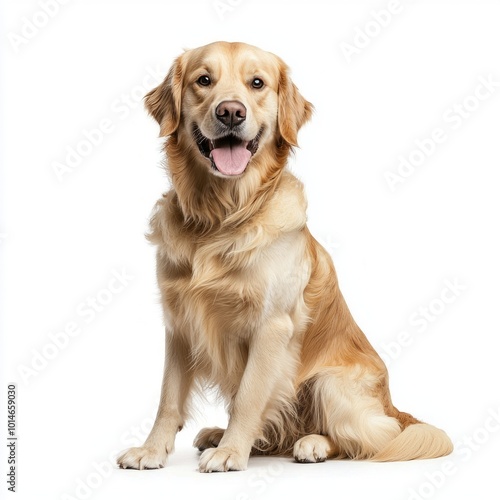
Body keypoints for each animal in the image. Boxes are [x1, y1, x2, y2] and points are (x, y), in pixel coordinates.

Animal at [117, 41, 454, 470]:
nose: (231, 112)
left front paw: (231, 452)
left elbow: (248, 397)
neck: (221, 218)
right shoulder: (179, 322)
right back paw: (221, 434)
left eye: (257, 83)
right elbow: (168, 398)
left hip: (329, 383)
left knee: (370, 438)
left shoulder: (272, 326)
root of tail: (392, 403)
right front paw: (152, 450)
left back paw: (310, 444)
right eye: (203, 80)